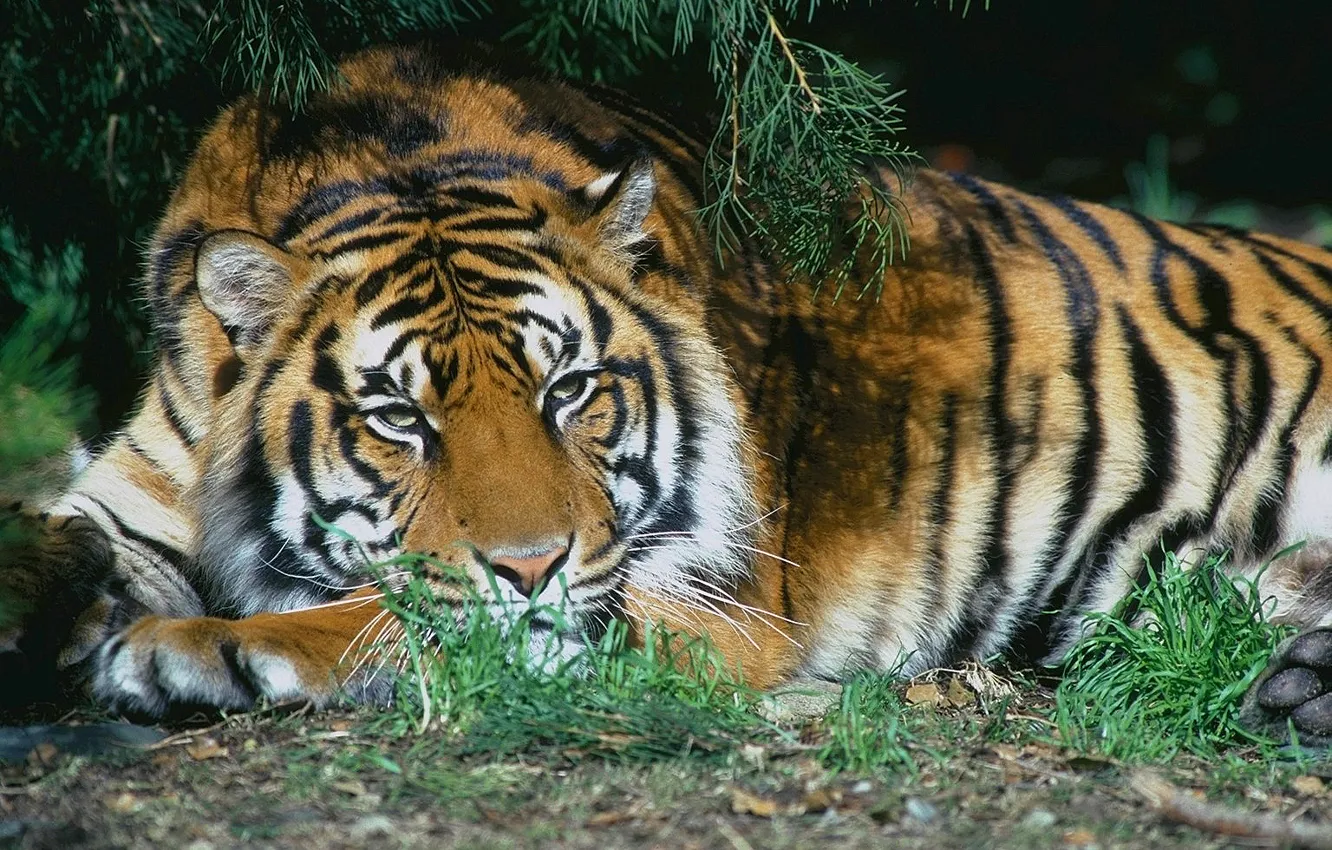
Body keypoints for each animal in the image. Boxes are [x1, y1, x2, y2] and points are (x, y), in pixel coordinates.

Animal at [4, 43, 1332, 743]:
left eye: (570, 390)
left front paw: (180, 650)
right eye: (399, 419)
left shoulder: (700, 604)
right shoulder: (127, 497)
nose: (531, 563)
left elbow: (394, 614)